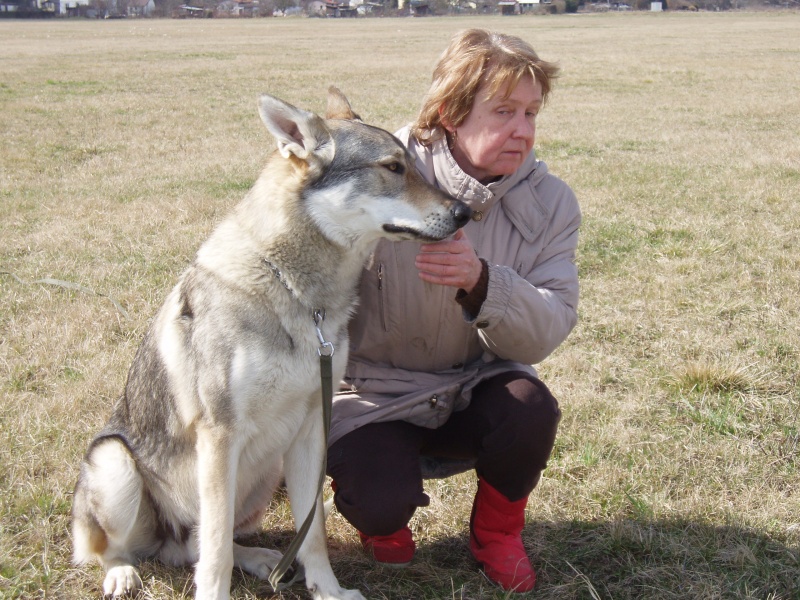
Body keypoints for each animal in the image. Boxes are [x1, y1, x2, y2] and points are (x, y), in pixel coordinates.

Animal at [72, 85, 472, 600]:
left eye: (415, 166)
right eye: (392, 167)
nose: (466, 212)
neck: (303, 298)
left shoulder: (310, 431)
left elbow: (311, 532)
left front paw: (328, 591)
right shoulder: (220, 437)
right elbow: (216, 553)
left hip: (264, 474)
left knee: (195, 547)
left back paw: (262, 559)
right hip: (115, 463)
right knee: (126, 549)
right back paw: (122, 572)